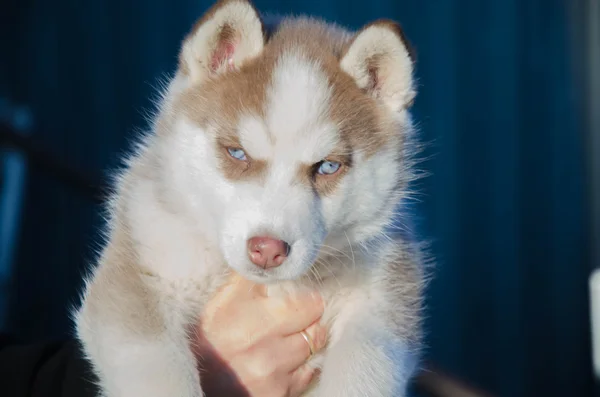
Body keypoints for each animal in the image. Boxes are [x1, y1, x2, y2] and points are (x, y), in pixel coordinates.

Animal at [74, 1, 426, 394]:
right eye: (237, 153)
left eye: (327, 166)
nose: (268, 249)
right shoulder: (141, 276)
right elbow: (159, 373)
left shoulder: (382, 300)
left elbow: (361, 370)